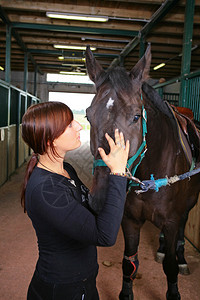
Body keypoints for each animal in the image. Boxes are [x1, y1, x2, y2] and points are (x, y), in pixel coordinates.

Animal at [85, 45, 200, 300]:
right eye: (88, 115)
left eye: (136, 116)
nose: (101, 199)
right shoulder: (129, 220)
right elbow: (129, 263)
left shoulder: (171, 220)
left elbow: (170, 266)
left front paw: (174, 288)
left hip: (188, 205)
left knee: (181, 230)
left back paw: (182, 258)